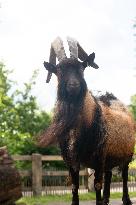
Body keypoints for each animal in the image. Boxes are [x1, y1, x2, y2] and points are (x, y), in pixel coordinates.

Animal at [38, 36, 135, 205]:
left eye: (81, 68)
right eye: (59, 70)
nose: (74, 85)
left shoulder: (99, 157)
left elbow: (97, 185)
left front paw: (100, 201)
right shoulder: (71, 160)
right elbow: (75, 186)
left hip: (127, 154)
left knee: (124, 175)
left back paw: (126, 199)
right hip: (109, 158)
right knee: (109, 175)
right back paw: (106, 199)